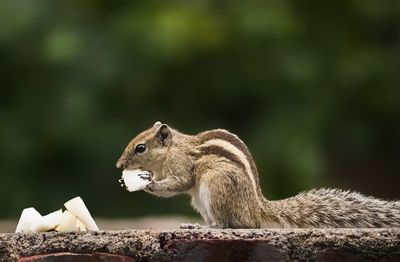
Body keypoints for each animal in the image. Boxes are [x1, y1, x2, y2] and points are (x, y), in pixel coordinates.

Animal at [115, 121, 400, 227]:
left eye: (140, 148)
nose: (119, 165)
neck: (174, 148)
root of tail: (256, 207)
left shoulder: (182, 165)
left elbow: (180, 182)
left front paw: (149, 183)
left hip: (215, 185)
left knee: (230, 225)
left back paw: (209, 226)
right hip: (201, 201)